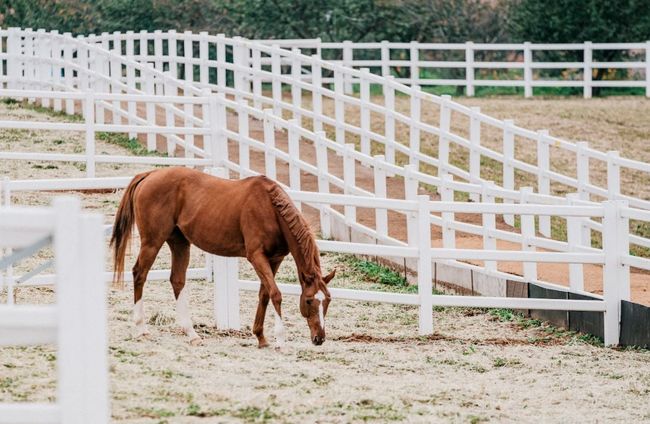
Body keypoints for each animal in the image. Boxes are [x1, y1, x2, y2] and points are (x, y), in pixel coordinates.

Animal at [110, 166, 334, 348]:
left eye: (327, 301)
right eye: (308, 301)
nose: (319, 338)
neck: (270, 209)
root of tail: (149, 174)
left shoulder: (274, 259)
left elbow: (264, 294)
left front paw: (260, 337)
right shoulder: (256, 257)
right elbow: (276, 294)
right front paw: (280, 339)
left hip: (179, 243)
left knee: (177, 280)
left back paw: (191, 333)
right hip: (152, 242)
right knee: (139, 274)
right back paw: (141, 329)